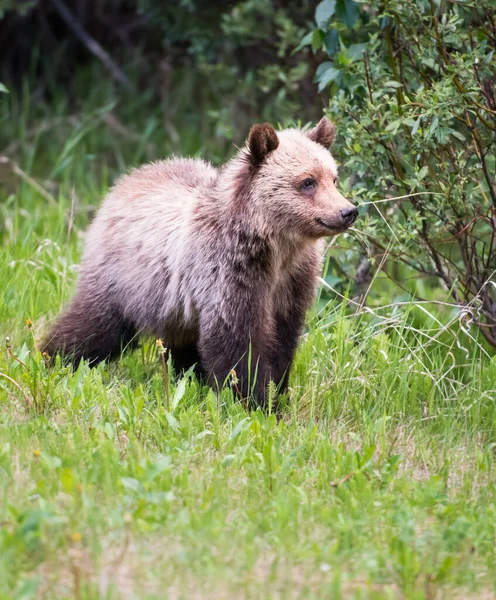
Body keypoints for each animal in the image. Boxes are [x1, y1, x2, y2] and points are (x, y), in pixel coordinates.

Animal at [43, 117, 356, 408]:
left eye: (333, 178)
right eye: (307, 182)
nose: (348, 211)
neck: (273, 245)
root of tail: (125, 181)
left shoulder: (292, 280)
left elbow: (284, 338)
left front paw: (277, 394)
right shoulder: (230, 273)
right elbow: (238, 343)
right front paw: (253, 400)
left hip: (174, 306)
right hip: (125, 278)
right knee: (96, 326)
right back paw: (52, 358)